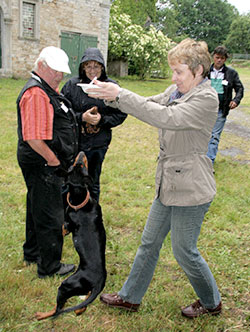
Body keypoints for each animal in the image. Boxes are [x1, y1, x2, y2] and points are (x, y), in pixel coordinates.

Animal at [35, 152, 106, 320]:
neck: (80, 202)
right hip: (80, 290)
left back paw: (41, 315)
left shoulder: (66, 227)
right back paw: (78, 310)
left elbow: (62, 226)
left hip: (66, 285)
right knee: (83, 303)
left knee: (58, 309)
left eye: (82, 165)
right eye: (75, 165)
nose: (81, 153)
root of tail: (99, 282)